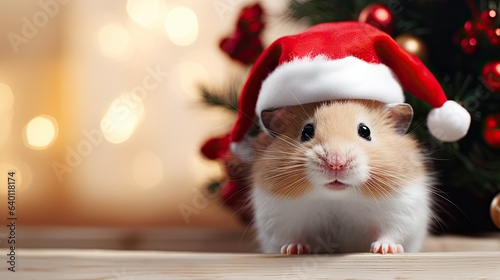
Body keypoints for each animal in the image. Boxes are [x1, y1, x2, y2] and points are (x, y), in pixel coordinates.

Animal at [252, 99, 432, 255]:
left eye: (365, 131)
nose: (336, 163)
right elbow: (291, 237)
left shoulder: (402, 211)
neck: (338, 198)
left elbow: (391, 233)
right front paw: (294, 250)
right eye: (306, 131)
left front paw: (384, 249)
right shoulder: (279, 219)